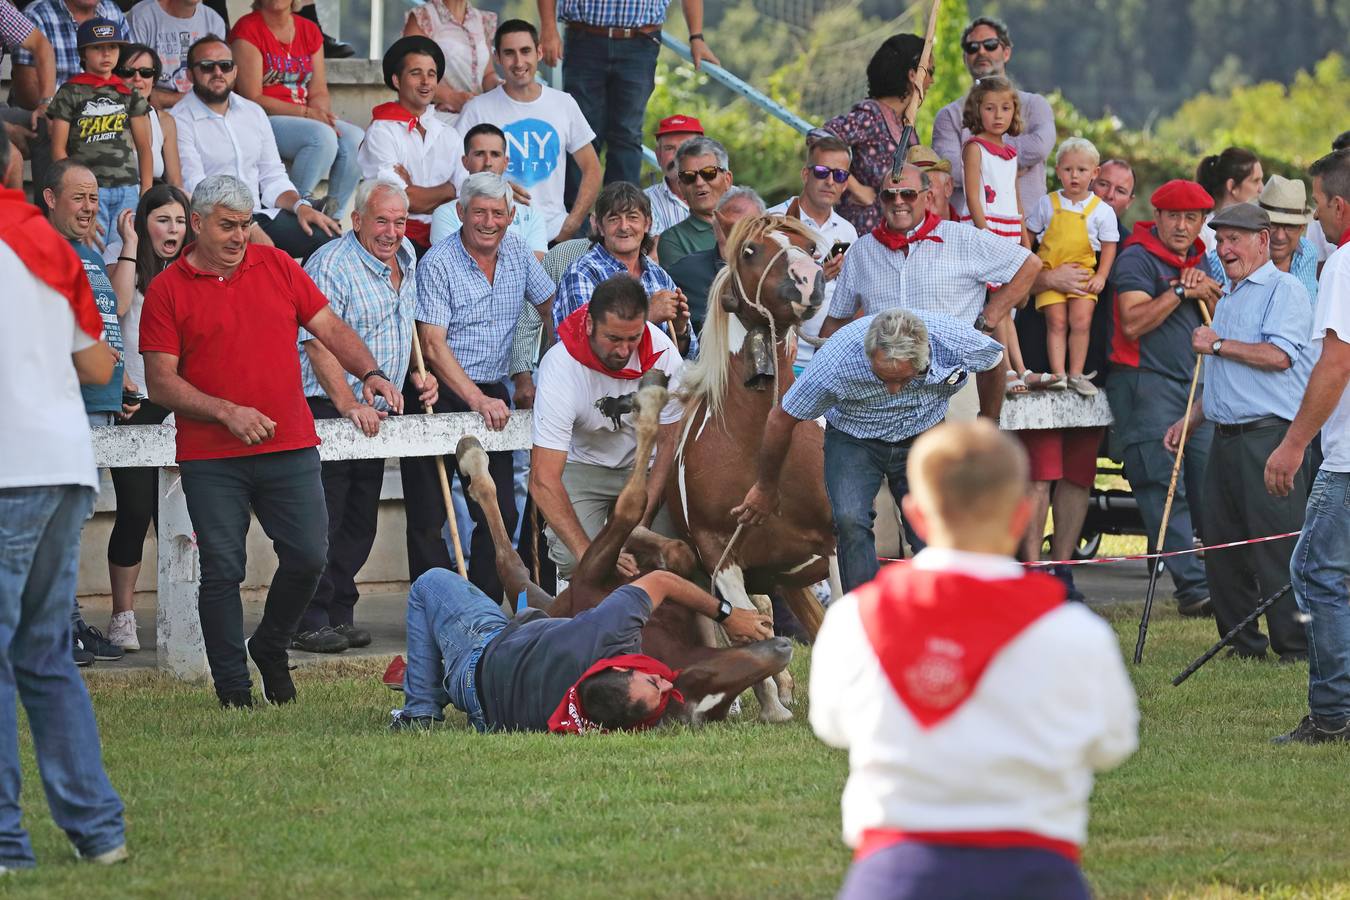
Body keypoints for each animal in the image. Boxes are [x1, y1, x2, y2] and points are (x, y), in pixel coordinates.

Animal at [456, 369, 788, 728]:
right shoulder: (591, 575)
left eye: (720, 706)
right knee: (509, 562)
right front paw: (650, 401)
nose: (782, 648)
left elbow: (672, 549)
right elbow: (631, 505)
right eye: (701, 678)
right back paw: (471, 454)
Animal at [661, 215, 837, 723]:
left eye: (808, 248)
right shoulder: (720, 556)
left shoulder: (836, 540)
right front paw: (771, 705)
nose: (809, 278)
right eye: (750, 251)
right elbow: (750, 629)